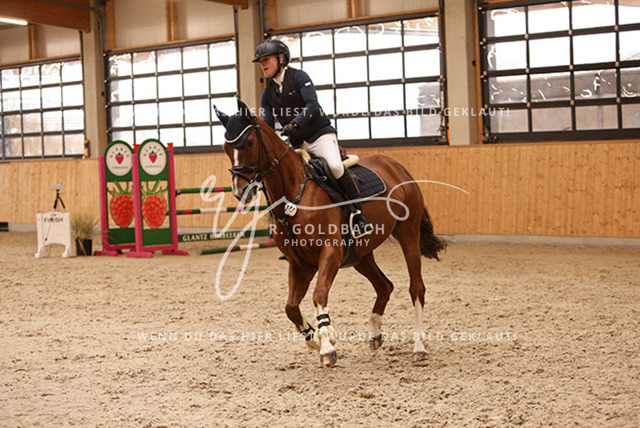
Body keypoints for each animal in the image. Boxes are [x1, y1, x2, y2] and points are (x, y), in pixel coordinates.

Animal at [215, 100, 446, 367]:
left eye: (250, 143)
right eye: (226, 147)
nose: (240, 191)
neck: (294, 195)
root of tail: (397, 167)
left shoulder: (330, 254)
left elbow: (318, 294)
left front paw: (327, 346)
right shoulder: (300, 264)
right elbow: (290, 307)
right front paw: (315, 338)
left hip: (408, 236)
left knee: (416, 288)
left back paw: (419, 347)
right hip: (360, 255)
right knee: (384, 286)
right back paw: (375, 334)